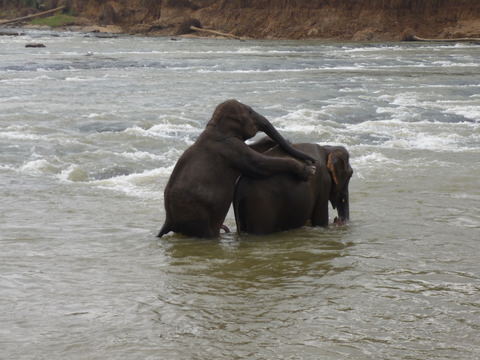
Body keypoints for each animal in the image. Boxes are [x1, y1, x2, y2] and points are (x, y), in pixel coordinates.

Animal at [157, 99, 318, 239]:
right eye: (250, 111)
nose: (312, 159)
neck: (214, 124)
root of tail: (168, 220)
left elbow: (255, 150)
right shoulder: (231, 148)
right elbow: (258, 164)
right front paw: (309, 171)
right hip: (197, 216)